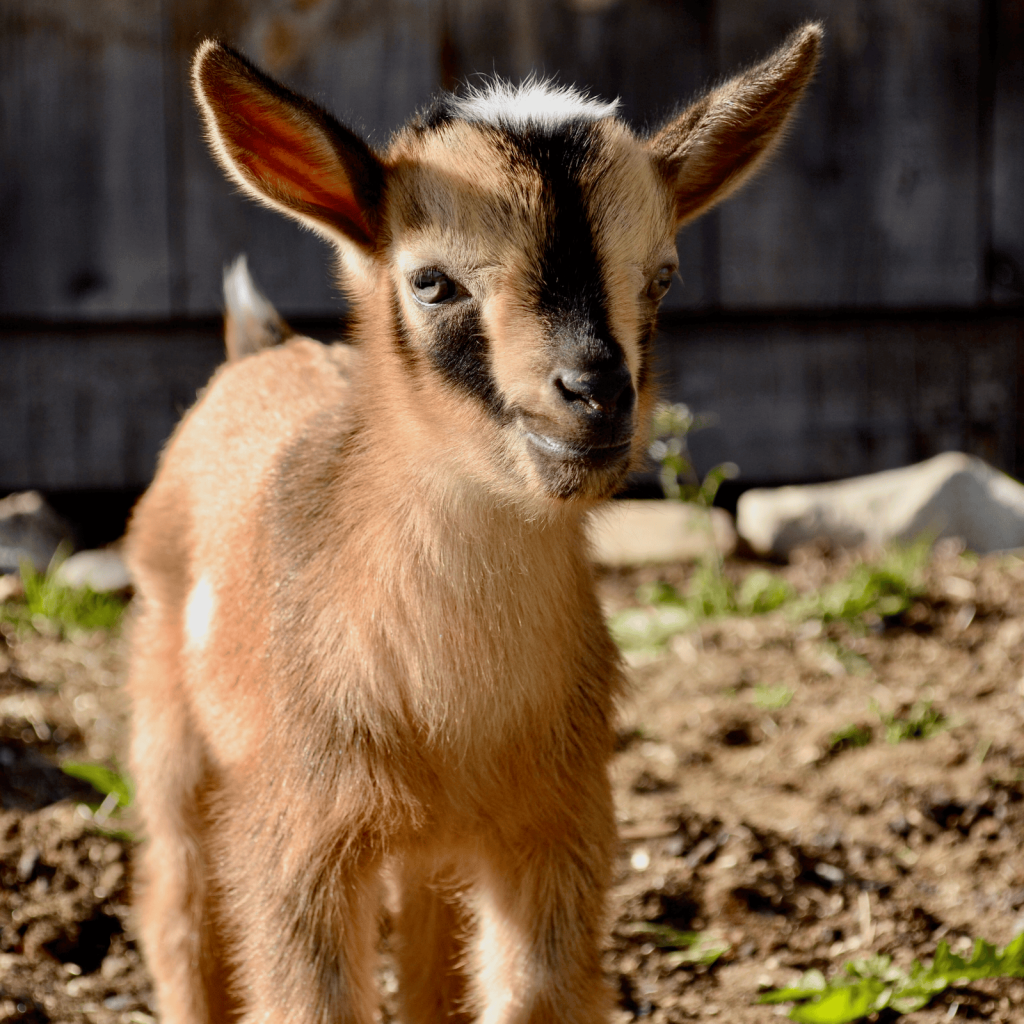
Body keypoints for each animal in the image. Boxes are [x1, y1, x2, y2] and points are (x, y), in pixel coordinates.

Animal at [126, 25, 821, 1024]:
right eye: (432, 281)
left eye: (662, 276)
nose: (597, 396)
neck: (452, 711)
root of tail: (259, 349)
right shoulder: (296, 833)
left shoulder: (559, 824)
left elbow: (528, 993)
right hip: (168, 726)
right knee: (176, 905)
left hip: (432, 845)